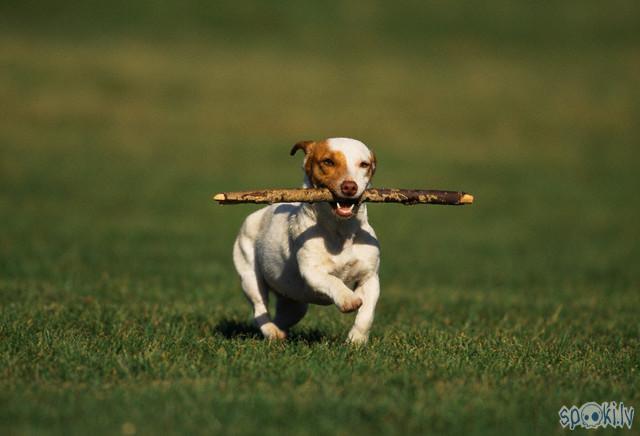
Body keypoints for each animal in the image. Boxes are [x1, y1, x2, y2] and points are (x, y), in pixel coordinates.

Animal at [231, 137, 378, 344]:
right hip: (249, 275)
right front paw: (348, 299)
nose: (350, 187)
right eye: (328, 162)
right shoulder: (312, 271)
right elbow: (332, 280)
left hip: (293, 299)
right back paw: (272, 332)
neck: (341, 232)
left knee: (286, 314)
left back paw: (280, 331)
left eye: (364, 164)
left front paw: (356, 341)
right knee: (259, 308)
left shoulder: (370, 276)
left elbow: (367, 314)